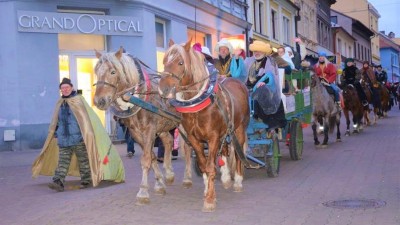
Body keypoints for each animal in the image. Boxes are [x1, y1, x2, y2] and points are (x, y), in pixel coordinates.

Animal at [94, 48, 194, 206]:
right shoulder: (136, 133)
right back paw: (169, 173)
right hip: (163, 125)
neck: (137, 97)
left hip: (183, 123)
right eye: (96, 70)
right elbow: (152, 157)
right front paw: (159, 184)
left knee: (187, 147)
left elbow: (146, 159)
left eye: (113, 71)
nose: (99, 101)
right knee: (168, 141)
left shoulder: (149, 130)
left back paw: (187, 178)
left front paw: (143, 192)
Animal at [157, 39, 248, 212]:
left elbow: (211, 167)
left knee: (238, 153)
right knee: (225, 151)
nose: (163, 89)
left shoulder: (212, 137)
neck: (197, 104)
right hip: (224, 131)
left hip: (239, 129)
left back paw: (239, 182)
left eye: (180, 62)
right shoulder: (194, 139)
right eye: (164, 61)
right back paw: (226, 179)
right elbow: (203, 165)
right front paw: (207, 190)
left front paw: (210, 200)